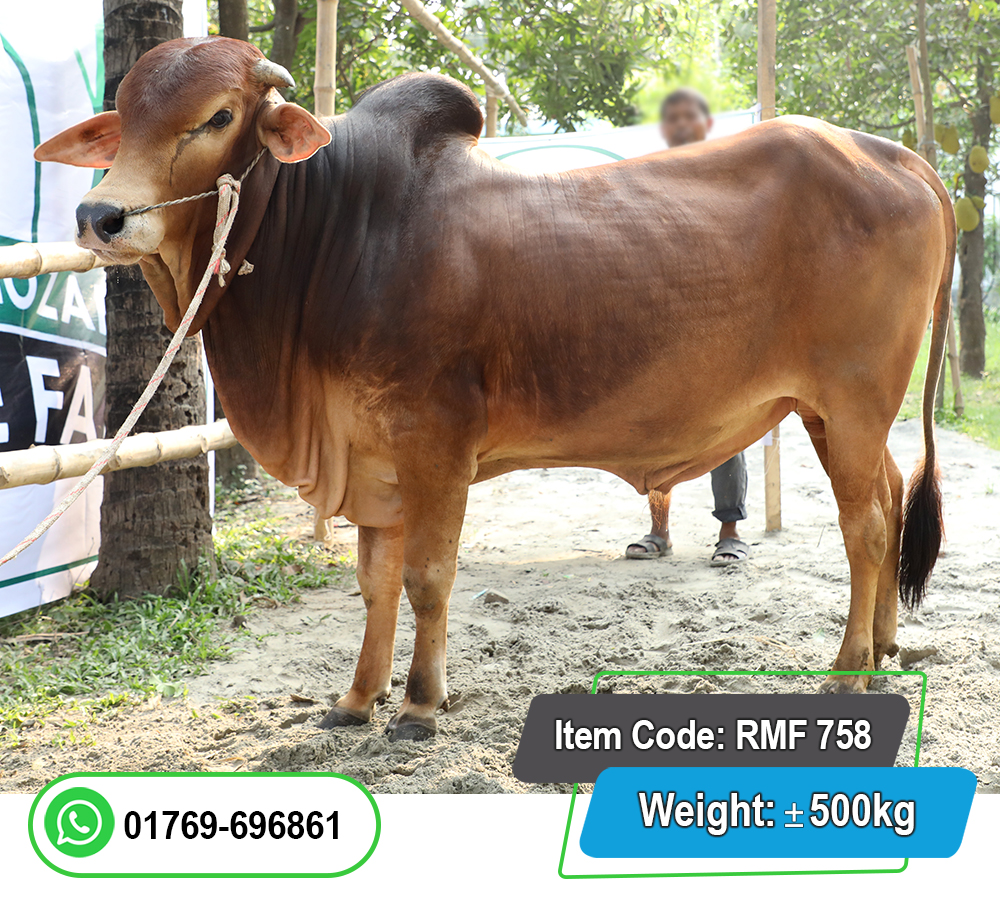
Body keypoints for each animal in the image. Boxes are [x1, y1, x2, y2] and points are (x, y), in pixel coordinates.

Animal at [35, 37, 953, 740]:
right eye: (123, 118)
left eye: (219, 116)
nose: (101, 216)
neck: (338, 234)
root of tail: (899, 155)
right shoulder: (371, 454)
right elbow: (374, 581)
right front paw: (357, 699)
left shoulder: (435, 443)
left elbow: (426, 578)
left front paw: (417, 707)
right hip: (829, 414)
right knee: (889, 496)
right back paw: (883, 648)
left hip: (855, 403)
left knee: (868, 526)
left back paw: (847, 673)